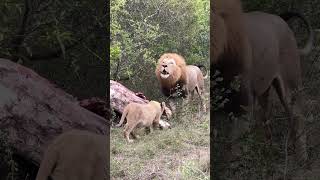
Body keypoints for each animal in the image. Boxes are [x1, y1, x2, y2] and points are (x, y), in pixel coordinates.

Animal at [211, 0, 314, 162]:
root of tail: (280, 19)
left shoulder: (243, 109)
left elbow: (234, 151)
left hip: (291, 84)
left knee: (297, 117)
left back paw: (302, 159)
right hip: (264, 90)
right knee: (266, 117)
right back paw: (269, 148)